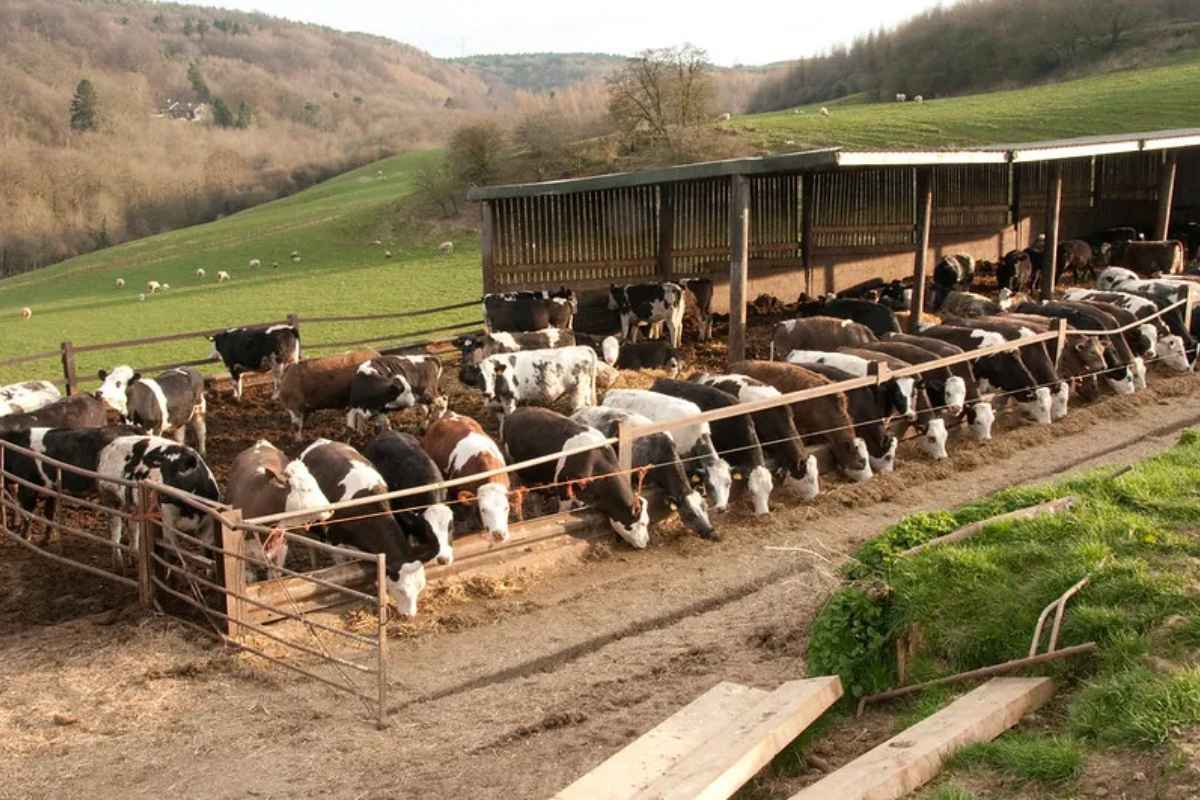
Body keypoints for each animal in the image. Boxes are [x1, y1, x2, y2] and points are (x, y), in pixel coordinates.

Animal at [466, 346, 597, 417]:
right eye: (479, 377)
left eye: (493, 375)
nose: (487, 393)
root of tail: (582, 348)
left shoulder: (509, 398)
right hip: (585, 389)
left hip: (578, 389)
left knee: (578, 407)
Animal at [501, 408, 649, 548]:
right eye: (641, 523)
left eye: (647, 522)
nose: (646, 541)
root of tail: (516, 412)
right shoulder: (563, 486)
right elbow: (564, 511)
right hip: (516, 469)